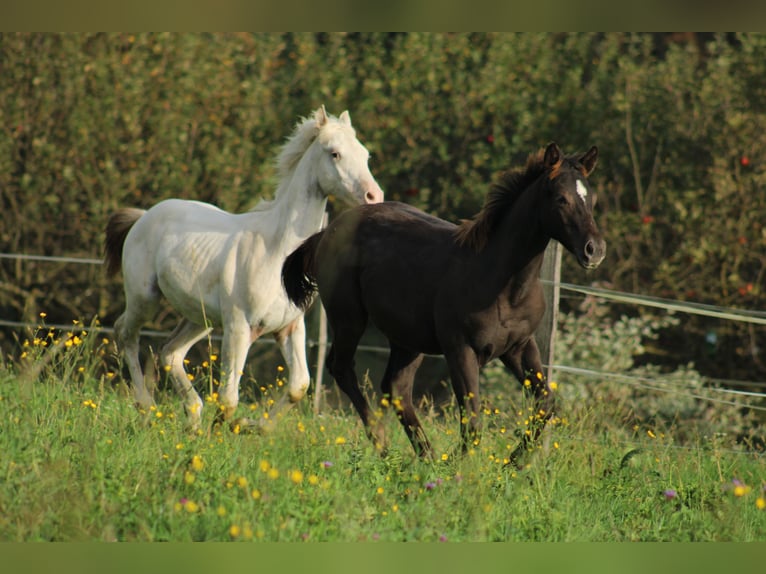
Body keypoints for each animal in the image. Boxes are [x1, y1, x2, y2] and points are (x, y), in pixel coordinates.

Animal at [105, 107, 384, 432]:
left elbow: (299, 386)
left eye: (365, 154)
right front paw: (223, 433)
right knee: (125, 332)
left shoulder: (290, 327)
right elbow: (228, 400)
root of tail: (144, 216)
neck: (276, 253)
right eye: (335, 153)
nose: (374, 197)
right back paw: (147, 408)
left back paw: (193, 420)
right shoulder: (239, 327)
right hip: (145, 298)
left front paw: (251, 426)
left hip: (200, 318)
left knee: (170, 352)